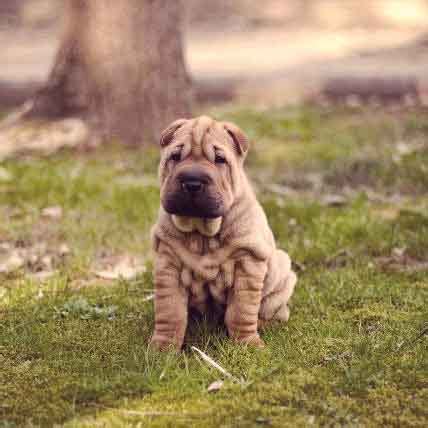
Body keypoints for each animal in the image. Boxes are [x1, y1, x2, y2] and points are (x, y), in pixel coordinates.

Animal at [151, 115, 298, 350]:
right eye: (175, 156)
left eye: (219, 159)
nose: (192, 182)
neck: (202, 233)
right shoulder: (167, 264)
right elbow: (170, 312)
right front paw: (162, 348)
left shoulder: (248, 264)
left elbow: (241, 311)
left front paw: (248, 344)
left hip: (281, 270)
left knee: (274, 309)